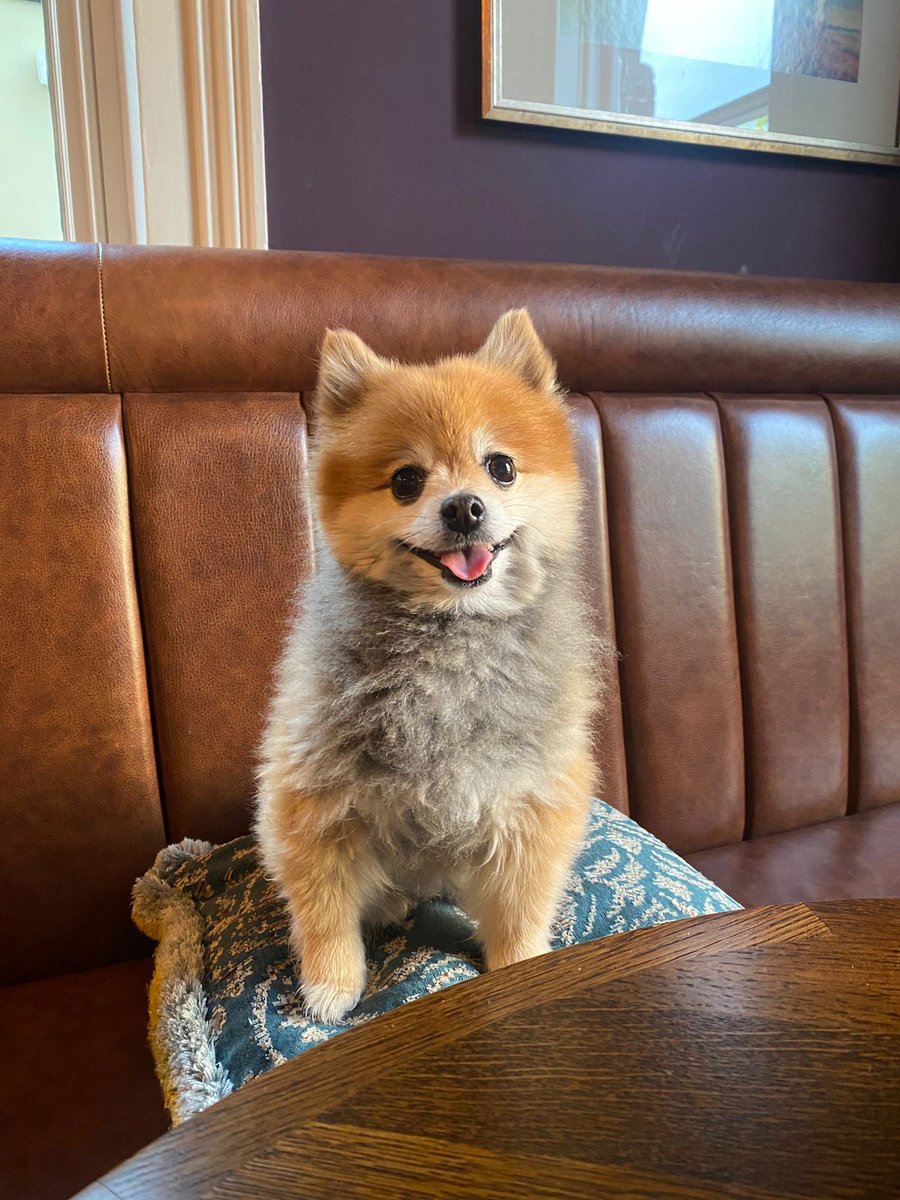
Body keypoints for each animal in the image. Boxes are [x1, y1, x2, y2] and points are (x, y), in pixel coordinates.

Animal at [255, 312, 600, 1022]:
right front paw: (331, 987)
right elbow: (324, 908)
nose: (464, 506)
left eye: (501, 468)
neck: (449, 640)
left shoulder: (529, 798)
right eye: (406, 481)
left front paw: (521, 970)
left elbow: (519, 911)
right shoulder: (313, 795)